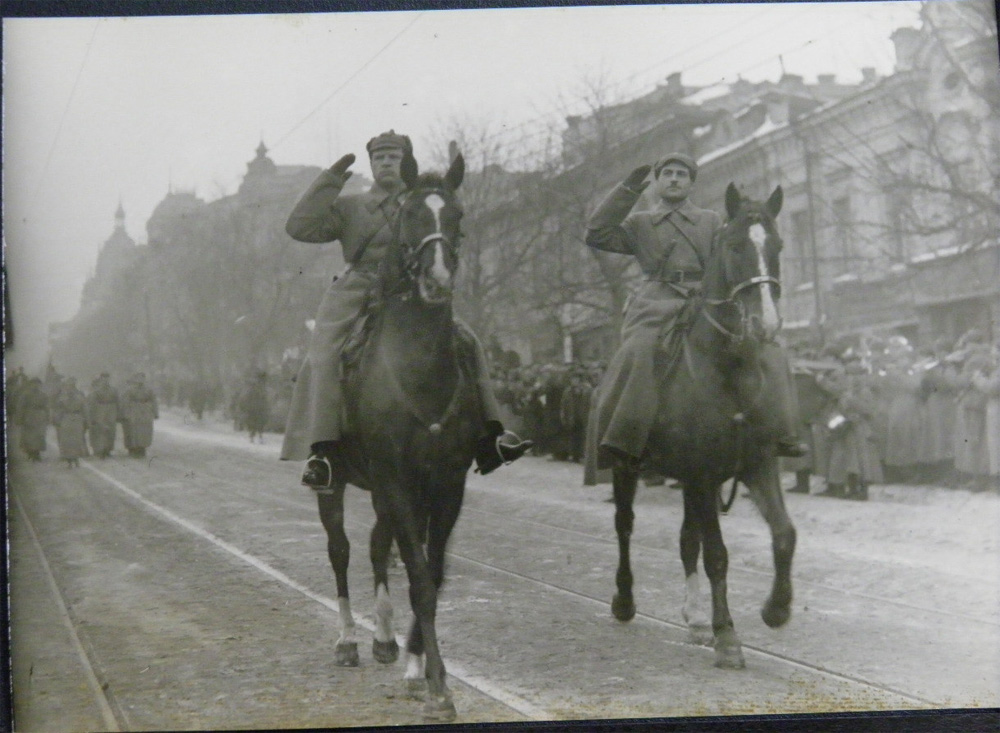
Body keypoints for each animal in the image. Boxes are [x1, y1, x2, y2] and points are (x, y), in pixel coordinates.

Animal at [318, 153, 478, 720]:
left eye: (456, 214)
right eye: (409, 214)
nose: (437, 277)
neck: (419, 369)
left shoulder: (445, 484)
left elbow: (432, 573)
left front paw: (418, 669)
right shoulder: (398, 480)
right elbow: (420, 579)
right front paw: (438, 689)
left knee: (373, 546)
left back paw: (385, 640)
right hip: (336, 481)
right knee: (341, 549)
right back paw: (347, 640)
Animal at [608, 180, 796, 668]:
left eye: (778, 245)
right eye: (734, 246)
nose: (766, 323)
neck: (729, 369)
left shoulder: (755, 465)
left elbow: (783, 535)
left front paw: (776, 609)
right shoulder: (702, 472)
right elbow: (717, 554)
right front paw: (727, 636)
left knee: (685, 538)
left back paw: (694, 620)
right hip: (625, 465)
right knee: (624, 525)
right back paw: (624, 600)